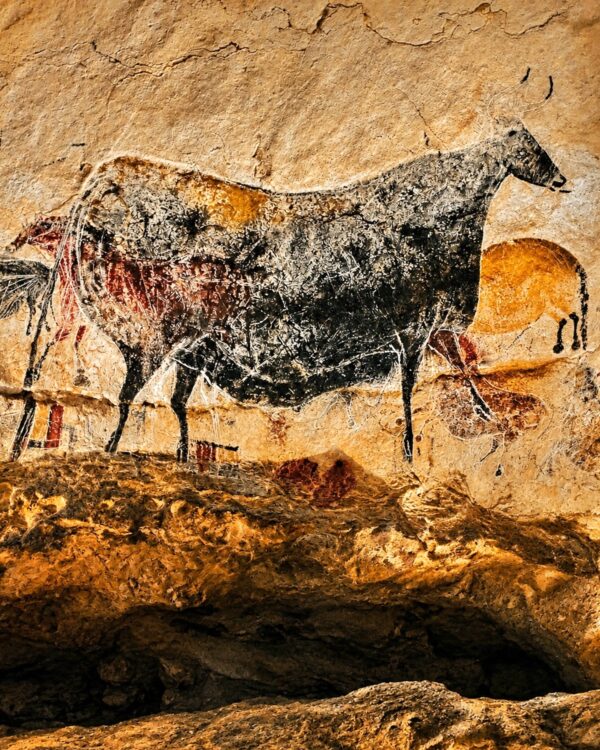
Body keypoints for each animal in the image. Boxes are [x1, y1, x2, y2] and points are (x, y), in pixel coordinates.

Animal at [7, 118, 568, 462]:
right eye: (532, 148)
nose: (562, 180)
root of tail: (98, 182)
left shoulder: (430, 329)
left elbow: (462, 373)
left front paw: (487, 418)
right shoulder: (415, 328)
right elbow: (419, 387)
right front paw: (412, 449)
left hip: (189, 350)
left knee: (174, 401)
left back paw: (182, 455)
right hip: (152, 339)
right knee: (126, 396)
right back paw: (112, 449)